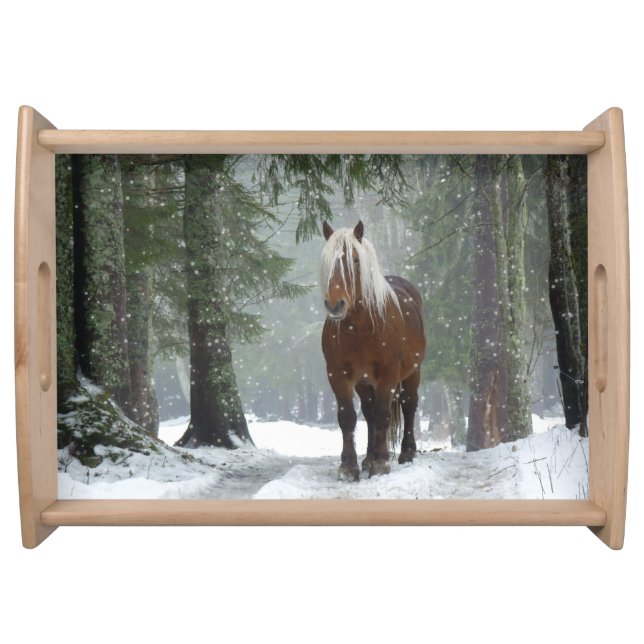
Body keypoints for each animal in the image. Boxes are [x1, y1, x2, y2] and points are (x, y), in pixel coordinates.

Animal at [320, 220, 426, 480]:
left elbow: (382, 415)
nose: (335, 304)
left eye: (355, 260)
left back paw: (405, 453)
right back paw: (368, 458)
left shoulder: (388, 374)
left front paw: (381, 463)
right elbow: (348, 417)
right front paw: (349, 466)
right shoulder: (337, 374)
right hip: (364, 382)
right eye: (327, 261)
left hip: (412, 372)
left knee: (408, 405)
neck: (360, 327)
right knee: (368, 412)